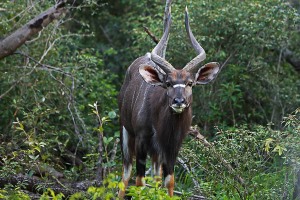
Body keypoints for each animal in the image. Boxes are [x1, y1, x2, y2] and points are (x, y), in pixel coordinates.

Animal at [118, 5, 221, 198]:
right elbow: (140, 182)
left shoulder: (172, 146)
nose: (178, 101)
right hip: (127, 132)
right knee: (126, 174)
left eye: (190, 83)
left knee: (156, 177)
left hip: (156, 152)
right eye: (168, 83)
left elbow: (169, 181)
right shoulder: (142, 139)